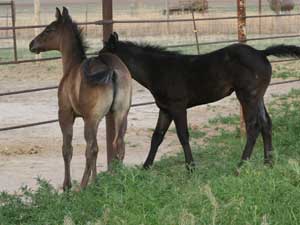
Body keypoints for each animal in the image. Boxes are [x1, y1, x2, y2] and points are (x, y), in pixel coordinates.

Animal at [29, 7, 131, 190]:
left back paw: (82, 186)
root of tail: (111, 69)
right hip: (121, 114)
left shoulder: (66, 114)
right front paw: (96, 182)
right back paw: (118, 180)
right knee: (118, 144)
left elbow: (67, 149)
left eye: (49, 29)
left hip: (91, 119)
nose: (32, 44)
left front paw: (67, 186)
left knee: (92, 149)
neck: (72, 66)